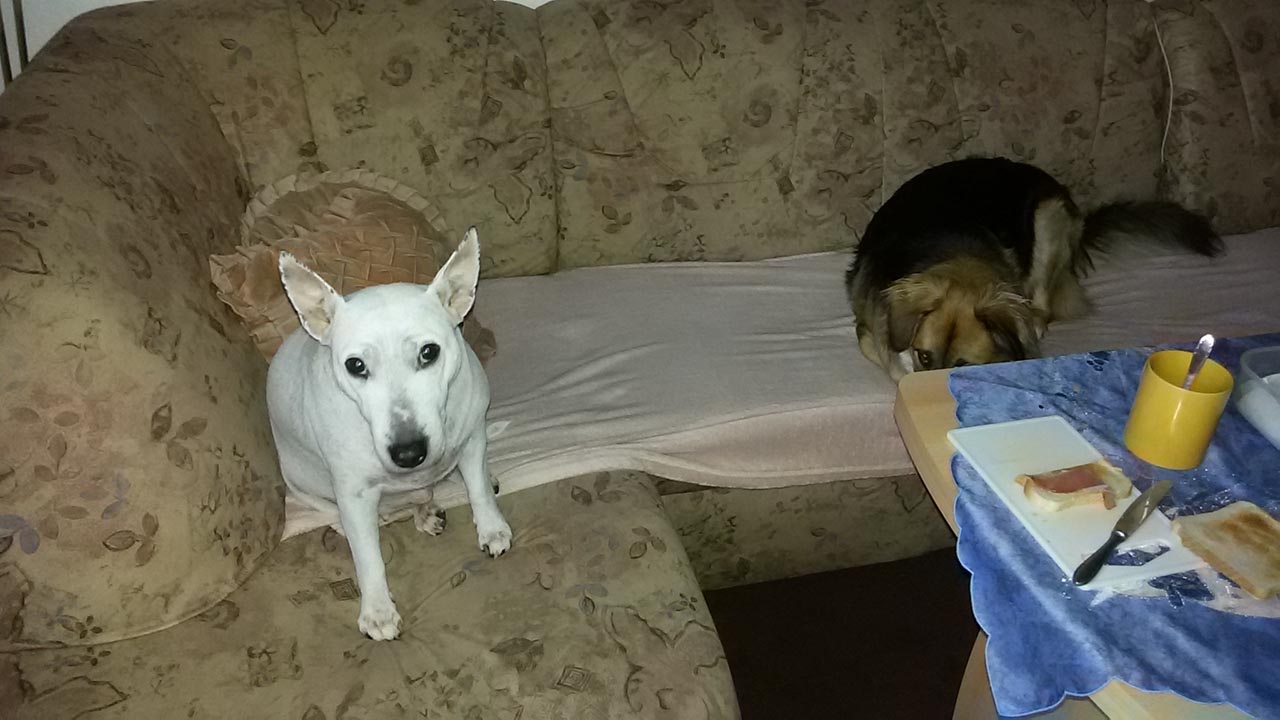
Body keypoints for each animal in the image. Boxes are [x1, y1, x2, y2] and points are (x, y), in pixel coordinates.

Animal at [266, 227, 511, 641]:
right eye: (355, 365)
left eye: (429, 352)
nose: (409, 453)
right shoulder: (354, 493)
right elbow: (368, 557)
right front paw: (378, 611)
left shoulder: (474, 438)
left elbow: (477, 488)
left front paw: (492, 529)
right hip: (303, 486)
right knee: (342, 518)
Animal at [845, 157, 1223, 381]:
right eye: (924, 356)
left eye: (963, 367)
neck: (954, 254)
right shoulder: (871, 333)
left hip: (1048, 215)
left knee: (1041, 305)